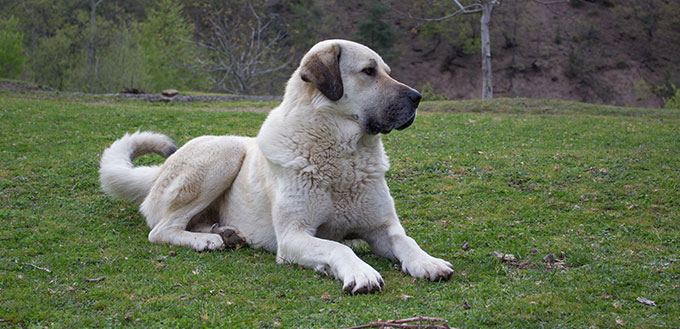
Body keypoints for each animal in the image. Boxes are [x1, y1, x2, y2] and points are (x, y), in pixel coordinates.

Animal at [98, 39, 454, 294]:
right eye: (368, 71)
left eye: (386, 71)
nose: (417, 97)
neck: (344, 156)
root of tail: (159, 172)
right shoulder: (293, 236)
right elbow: (338, 248)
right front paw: (361, 272)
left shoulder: (382, 228)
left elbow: (406, 241)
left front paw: (427, 262)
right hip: (225, 151)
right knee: (161, 229)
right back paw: (206, 240)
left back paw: (225, 233)